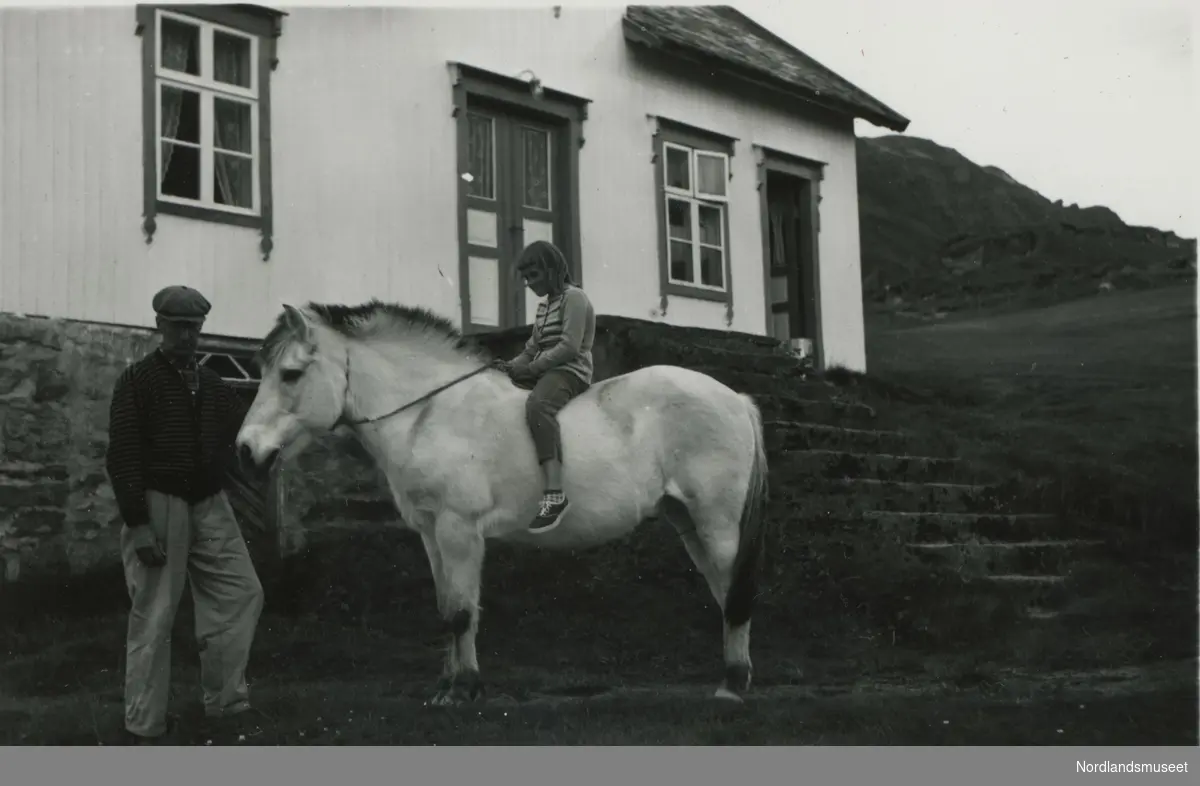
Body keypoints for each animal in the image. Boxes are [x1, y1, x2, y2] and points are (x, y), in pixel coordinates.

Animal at [236, 302, 768, 705]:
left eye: (290, 373)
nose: (246, 449)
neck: (429, 413)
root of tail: (737, 400)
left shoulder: (458, 529)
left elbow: (461, 611)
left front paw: (464, 689)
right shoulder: (431, 533)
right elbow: (447, 606)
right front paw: (448, 683)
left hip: (717, 523)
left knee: (734, 593)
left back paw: (732, 684)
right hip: (690, 523)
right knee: (726, 593)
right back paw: (735, 675)